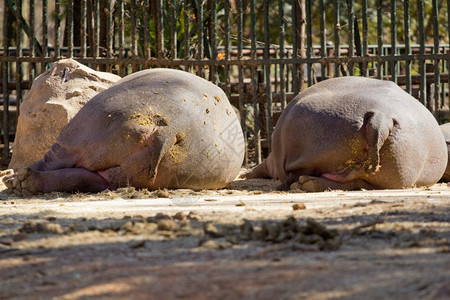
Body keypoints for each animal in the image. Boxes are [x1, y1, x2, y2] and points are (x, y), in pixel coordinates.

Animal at [244, 76, 448, 191]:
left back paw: (298, 184)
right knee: (356, 183)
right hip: (395, 175)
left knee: (294, 174)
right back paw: (307, 184)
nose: (246, 174)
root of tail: (382, 117)